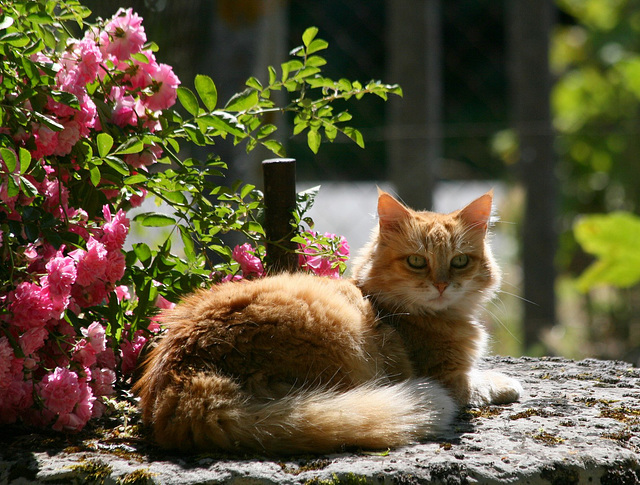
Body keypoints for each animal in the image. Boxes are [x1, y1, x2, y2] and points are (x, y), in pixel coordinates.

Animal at [134, 190, 520, 454]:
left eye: (459, 262)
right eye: (416, 262)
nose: (441, 286)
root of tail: (185, 382)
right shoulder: (447, 377)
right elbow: (482, 382)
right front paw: (508, 383)